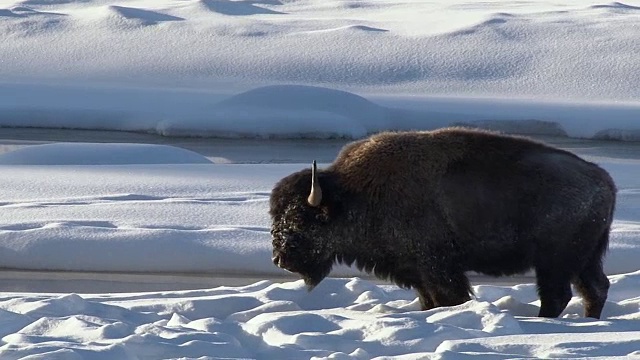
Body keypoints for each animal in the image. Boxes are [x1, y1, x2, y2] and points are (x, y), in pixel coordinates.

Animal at [268, 127, 616, 318]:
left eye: (299, 217)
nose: (279, 258)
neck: (355, 193)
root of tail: (603, 180)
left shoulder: (439, 267)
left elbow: (450, 298)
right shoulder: (418, 273)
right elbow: (428, 301)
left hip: (555, 261)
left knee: (557, 295)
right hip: (585, 259)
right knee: (594, 289)